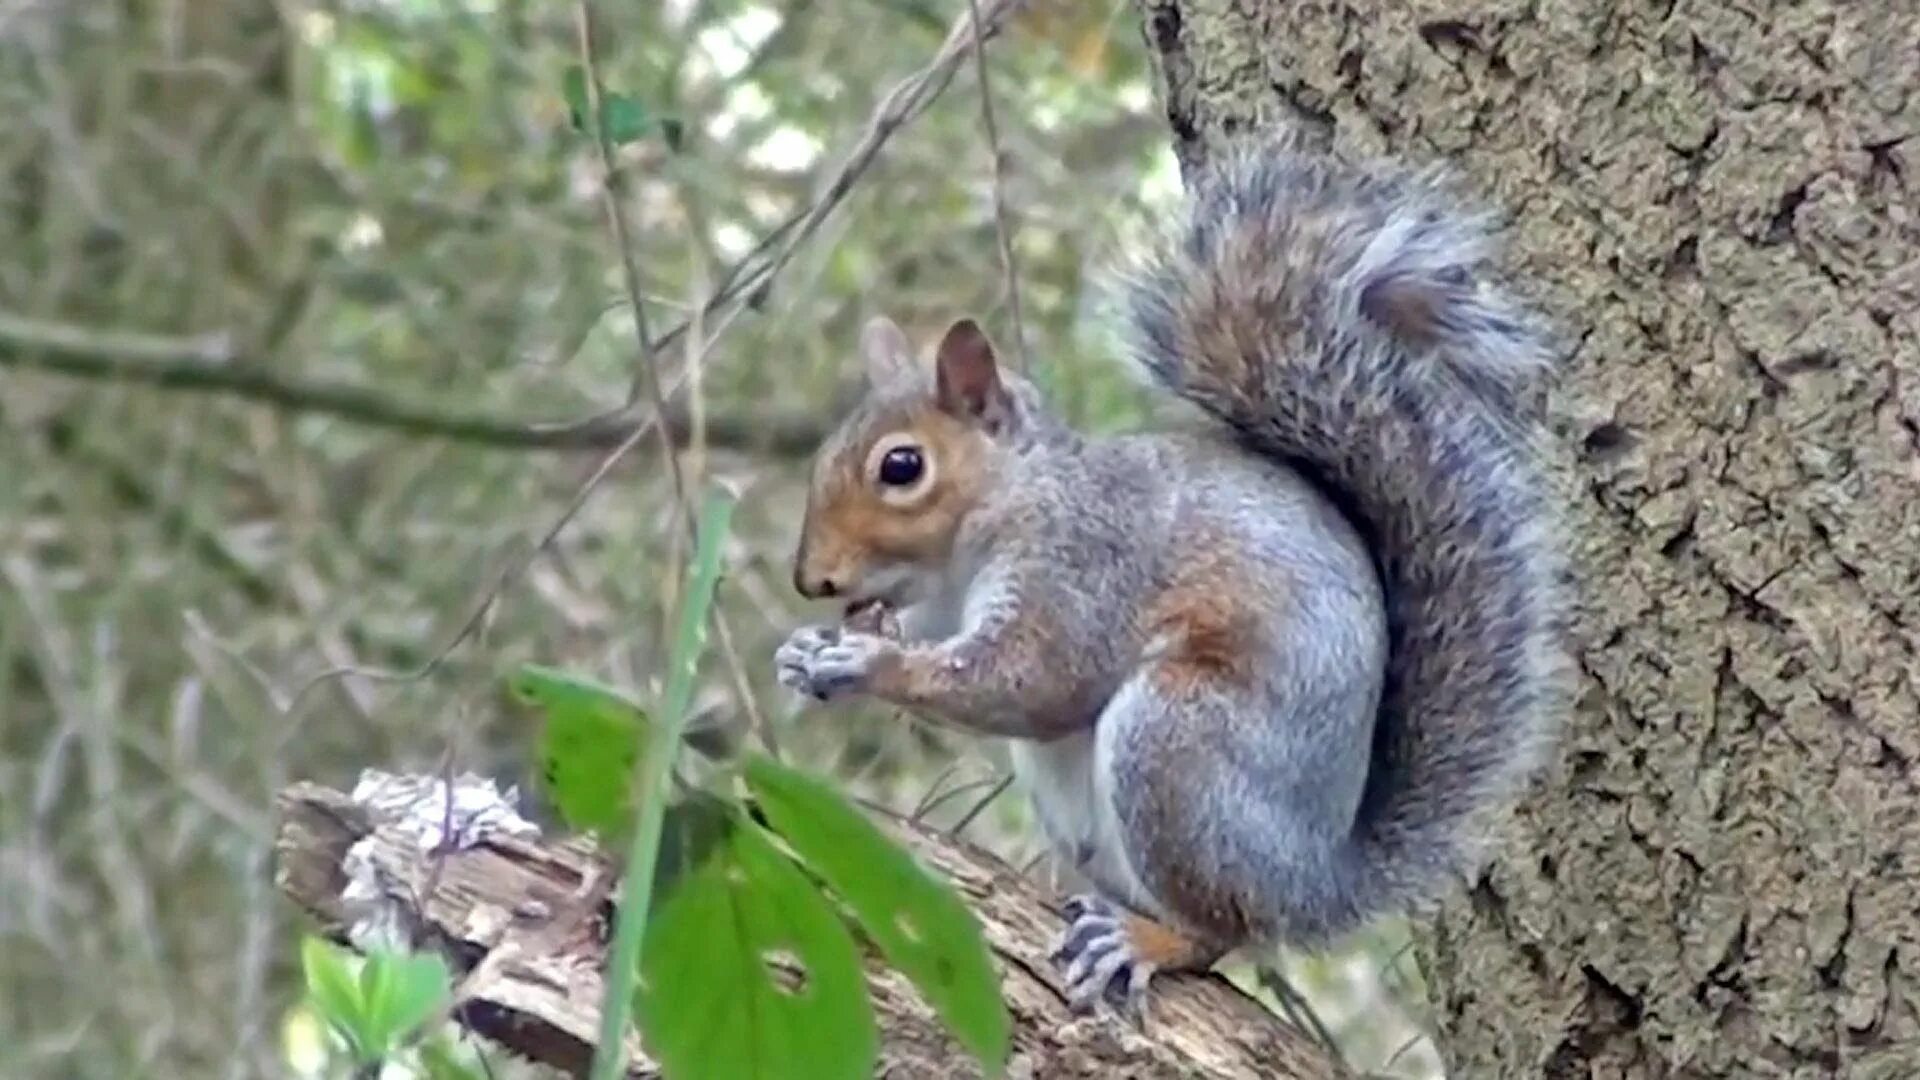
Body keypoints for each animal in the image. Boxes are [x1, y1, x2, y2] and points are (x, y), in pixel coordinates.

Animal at [771, 132, 1566, 1006]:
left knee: (1221, 929)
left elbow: (1035, 678)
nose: (813, 581)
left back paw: (1145, 939)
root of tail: (1315, 880)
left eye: (902, 467)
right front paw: (806, 651)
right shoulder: (947, 602)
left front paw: (867, 663)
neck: (1005, 507)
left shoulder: (1086, 561)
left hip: (1177, 745)